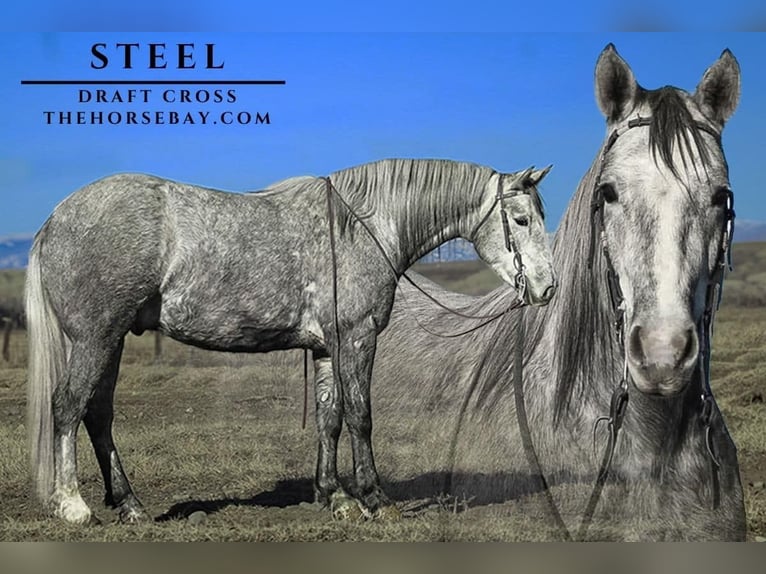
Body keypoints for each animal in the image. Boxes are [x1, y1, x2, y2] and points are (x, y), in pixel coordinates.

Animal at [25, 158, 556, 524]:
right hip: (95, 338)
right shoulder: (356, 339)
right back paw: (73, 505)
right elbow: (361, 417)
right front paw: (374, 499)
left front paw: (334, 496)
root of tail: (54, 220)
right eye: (522, 220)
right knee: (68, 406)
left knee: (98, 414)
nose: (548, 287)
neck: (361, 228)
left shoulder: (325, 348)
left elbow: (330, 419)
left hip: (112, 340)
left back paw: (130, 504)